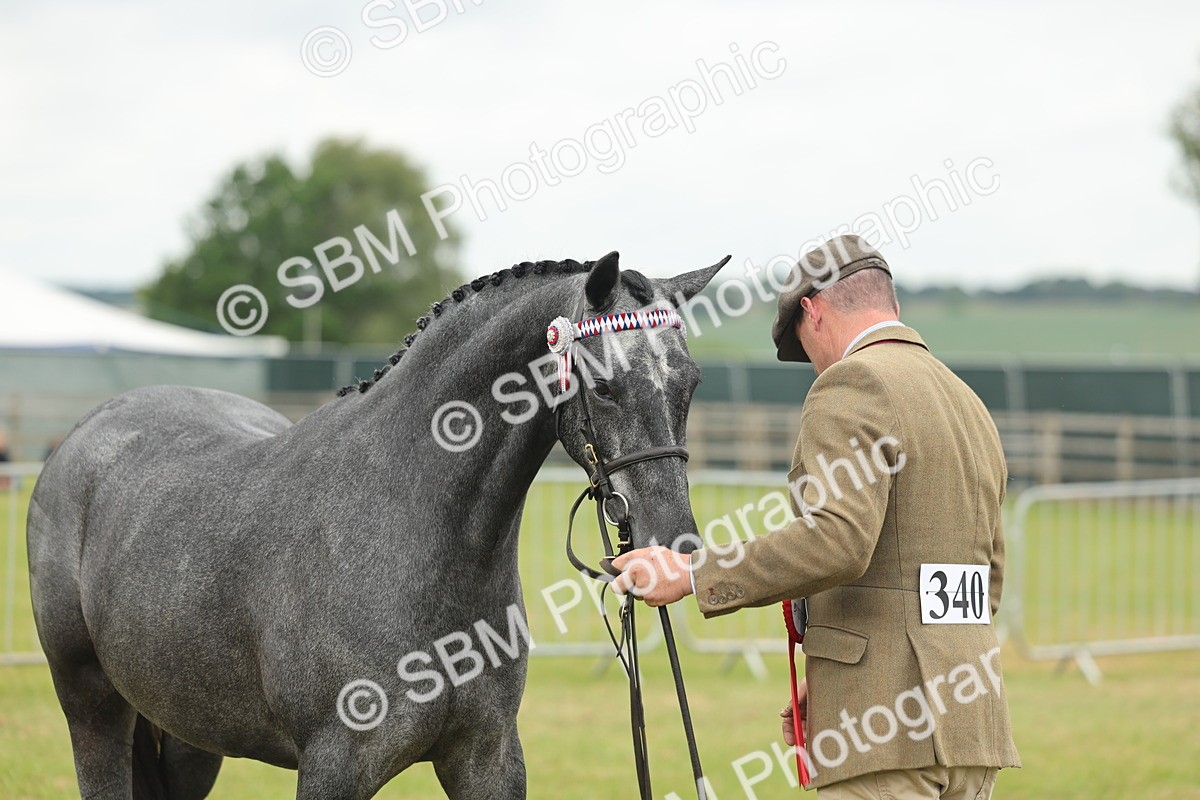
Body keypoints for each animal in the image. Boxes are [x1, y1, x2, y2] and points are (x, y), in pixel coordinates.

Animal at [27, 250, 728, 800]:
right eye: (604, 386)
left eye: (691, 383)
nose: (674, 548)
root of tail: (87, 431)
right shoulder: (334, 768)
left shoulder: (487, 759)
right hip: (93, 709)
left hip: (190, 732)